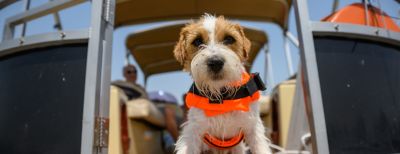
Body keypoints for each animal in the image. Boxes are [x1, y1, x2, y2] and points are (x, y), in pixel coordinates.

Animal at [173, 13, 272, 153]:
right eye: (197, 41)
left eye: (229, 39)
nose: (215, 62)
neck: (222, 95)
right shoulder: (193, 130)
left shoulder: (253, 127)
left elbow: (261, 148)